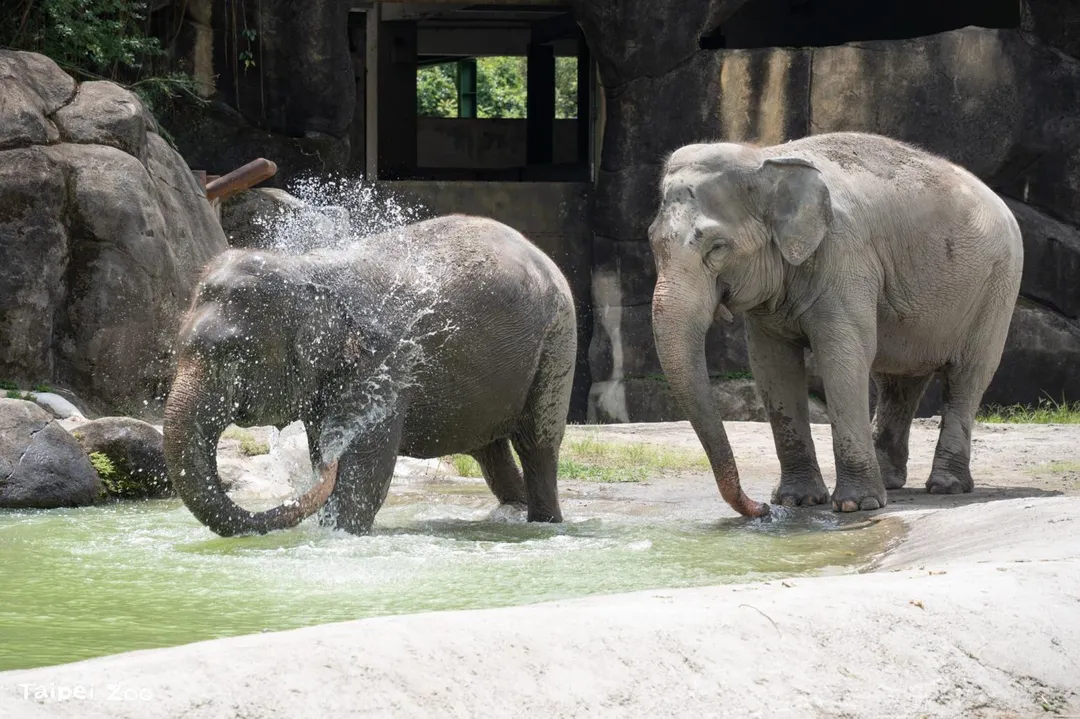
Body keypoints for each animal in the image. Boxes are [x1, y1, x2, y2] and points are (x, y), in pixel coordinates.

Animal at [163, 215, 577, 536]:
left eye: (236, 353)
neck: (307, 269)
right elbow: (326, 448)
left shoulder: (382, 366)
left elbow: (365, 467)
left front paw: (339, 534)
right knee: (489, 451)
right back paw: (510, 513)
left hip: (558, 341)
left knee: (537, 443)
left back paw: (543, 523)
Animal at [649, 131, 1023, 517]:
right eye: (651, 241)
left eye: (717, 247)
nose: (761, 508)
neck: (766, 157)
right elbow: (773, 365)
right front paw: (796, 500)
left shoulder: (845, 256)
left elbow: (842, 355)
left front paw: (856, 505)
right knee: (897, 382)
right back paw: (890, 481)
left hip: (998, 286)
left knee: (968, 376)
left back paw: (946, 487)